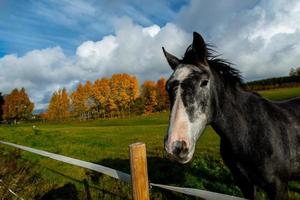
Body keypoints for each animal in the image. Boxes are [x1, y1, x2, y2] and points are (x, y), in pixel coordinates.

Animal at [163, 32, 300, 199]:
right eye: (167, 87)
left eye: (204, 82)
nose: (176, 146)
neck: (250, 134)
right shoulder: (244, 183)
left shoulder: (278, 187)